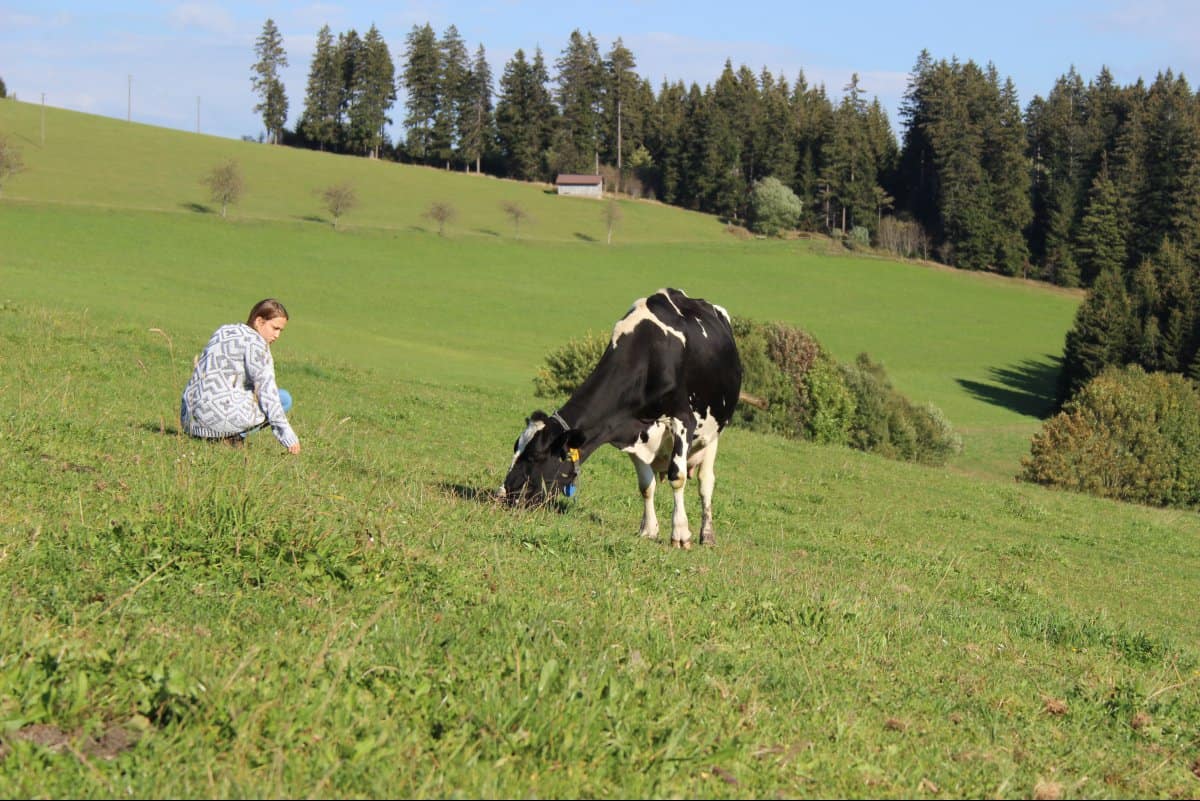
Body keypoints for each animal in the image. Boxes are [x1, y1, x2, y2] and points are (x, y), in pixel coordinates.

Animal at [496, 287, 739, 551]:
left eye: (536, 456)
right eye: (516, 448)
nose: (503, 495)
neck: (648, 355)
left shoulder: (683, 420)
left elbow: (678, 477)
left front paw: (681, 534)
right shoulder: (629, 429)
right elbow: (646, 485)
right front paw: (648, 530)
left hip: (713, 431)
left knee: (706, 483)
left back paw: (707, 534)